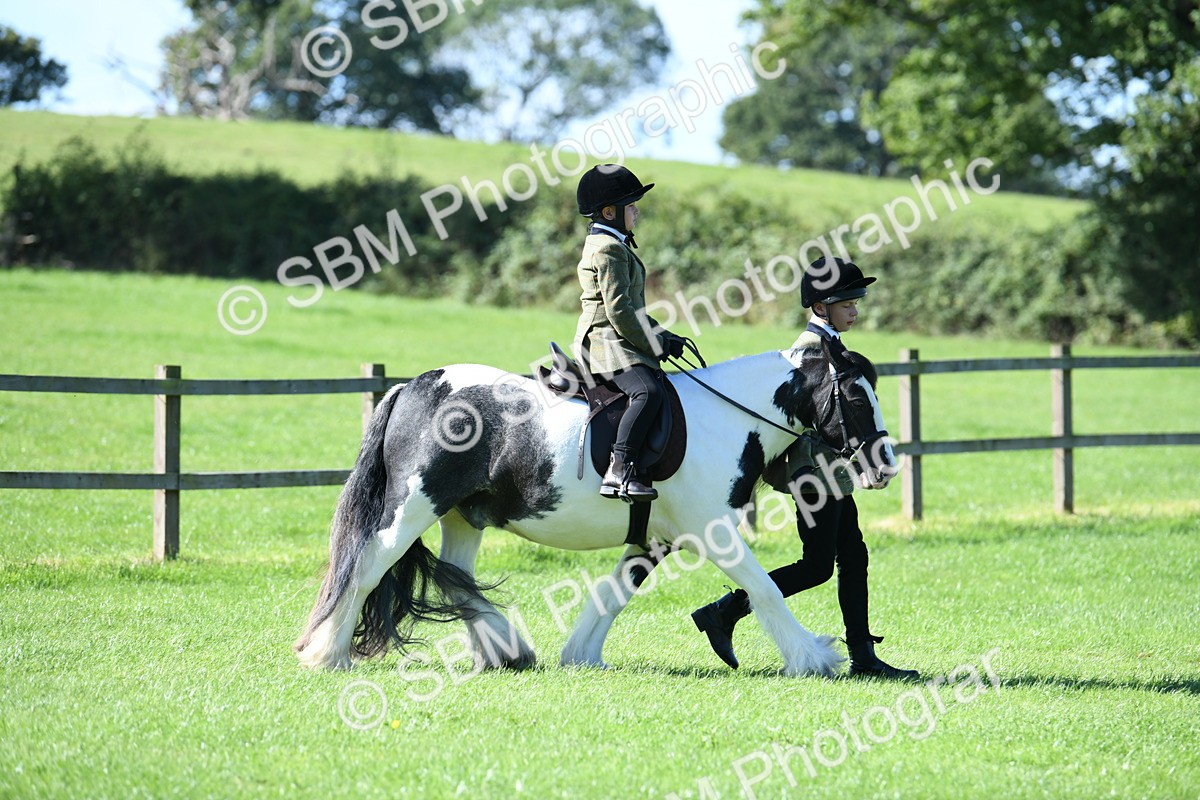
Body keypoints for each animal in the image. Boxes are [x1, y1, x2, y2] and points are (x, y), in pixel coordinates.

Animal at [294, 342, 897, 677]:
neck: (724, 418)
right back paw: (328, 655)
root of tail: (412, 387)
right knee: (365, 571)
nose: (885, 464)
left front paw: (581, 654)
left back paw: (506, 651)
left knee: (457, 580)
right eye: (857, 395)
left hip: (462, 517)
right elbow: (766, 589)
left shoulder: (656, 538)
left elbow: (611, 595)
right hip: (412, 508)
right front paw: (813, 658)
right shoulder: (714, 532)